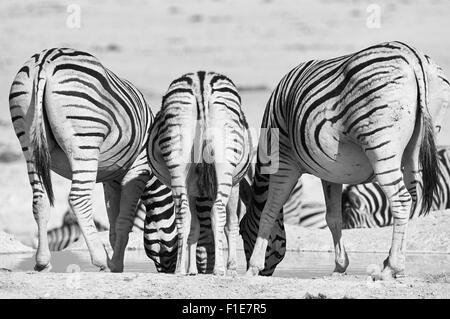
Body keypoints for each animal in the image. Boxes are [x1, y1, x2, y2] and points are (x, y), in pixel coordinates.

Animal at [8, 48, 153, 272]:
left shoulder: (112, 177)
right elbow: (124, 219)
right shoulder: (139, 167)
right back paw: (101, 260)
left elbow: (114, 220)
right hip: (85, 139)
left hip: (28, 139)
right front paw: (115, 264)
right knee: (78, 198)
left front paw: (116, 260)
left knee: (40, 199)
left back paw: (42, 262)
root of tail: (45, 61)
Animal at [148, 71, 253, 276]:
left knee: (182, 214)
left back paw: (179, 269)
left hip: (177, 155)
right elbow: (232, 224)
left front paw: (191, 270)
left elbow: (194, 228)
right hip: (225, 160)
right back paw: (219, 269)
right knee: (218, 211)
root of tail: (201, 80)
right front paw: (232, 268)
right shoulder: (235, 184)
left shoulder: (192, 190)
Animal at [239, 40, 450, 280]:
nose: (267, 273)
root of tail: (412, 55)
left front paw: (252, 267)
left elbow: (269, 210)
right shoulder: (331, 172)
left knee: (401, 199)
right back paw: (394, 264)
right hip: (416, 147)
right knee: (413, 198)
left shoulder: (282, 162)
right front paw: (340, 266)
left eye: (241, 230)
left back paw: (392, 267)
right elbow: (333, 218)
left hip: (381, 145)